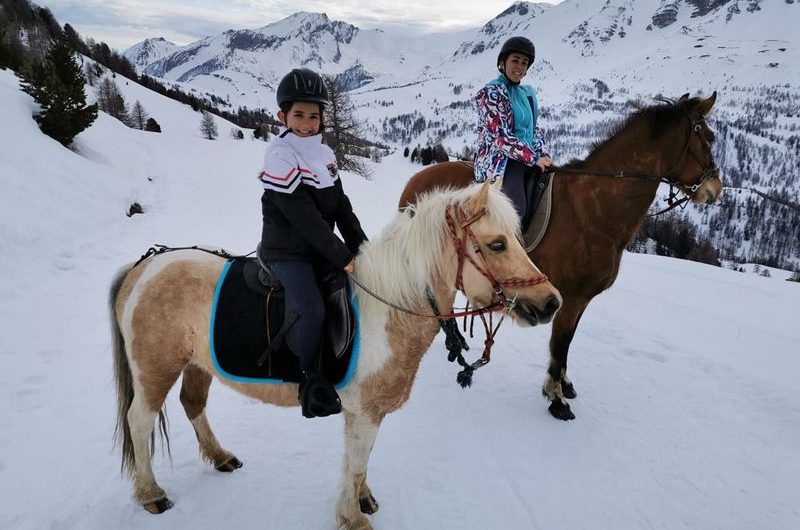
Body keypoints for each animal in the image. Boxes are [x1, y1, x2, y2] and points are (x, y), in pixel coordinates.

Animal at [109, 179, 564, 524]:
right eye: (497, 244)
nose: (551, 303)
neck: (387, 307)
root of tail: (142, 266)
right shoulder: (363, 411)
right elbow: (357, 460)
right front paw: (353, 517)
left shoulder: (368, 412)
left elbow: (359, 462)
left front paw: (362, 500)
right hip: (155, 369)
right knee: (140, 421)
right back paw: (151, 493)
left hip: (196, 363)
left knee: (193, 404)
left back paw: (220, 457)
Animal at [400, 93, 724, 418]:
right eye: (709, 138)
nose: (714, 189)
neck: (594, 207)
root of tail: (416, 180)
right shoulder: (570, 297)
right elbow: (561, 343)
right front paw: (556, 398)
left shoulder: (580, 300)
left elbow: (567, 342)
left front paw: (564, 384)